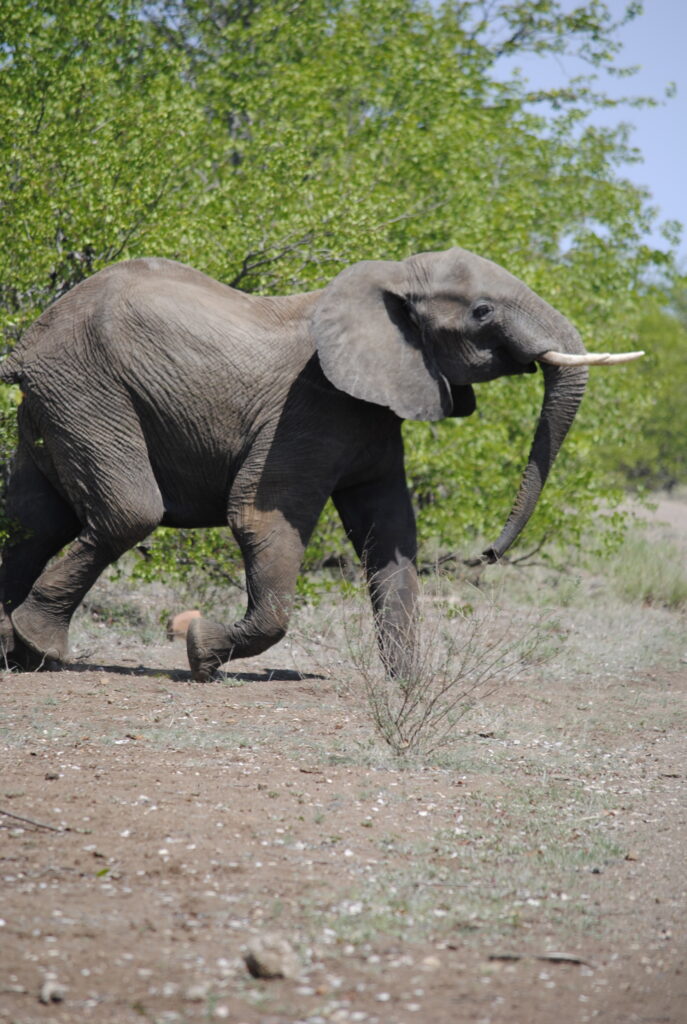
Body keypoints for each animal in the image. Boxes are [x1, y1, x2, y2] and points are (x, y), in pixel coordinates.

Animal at [0, 247, 638, 679]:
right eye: (483, 311)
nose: (487, 554)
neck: (391, 279)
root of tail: (28, 342)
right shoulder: (309, 407)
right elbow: (261, 518)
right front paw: (202, 654)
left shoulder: (374, 410)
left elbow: (391, 533)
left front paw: (408, 686)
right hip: (88, 389)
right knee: (127, 512)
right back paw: (43, 649)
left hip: (55, 403)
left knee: (34, 522)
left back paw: (13, 654)